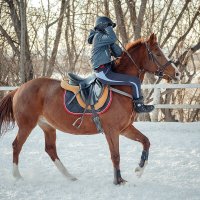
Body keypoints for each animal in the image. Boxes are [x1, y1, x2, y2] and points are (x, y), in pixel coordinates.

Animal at [0, 32, 181, 184]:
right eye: (158, 54)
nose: (177, 73)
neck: (121, 87)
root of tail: (19, 88)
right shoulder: (112, 131)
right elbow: (116, 155)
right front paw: (118, 180)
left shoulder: (125, 128)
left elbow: (146, 141)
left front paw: (139, 169)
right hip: (27, 125)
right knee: (17, 146)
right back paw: (17, 176)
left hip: (48, 126)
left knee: (50, 150)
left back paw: (69, 176)